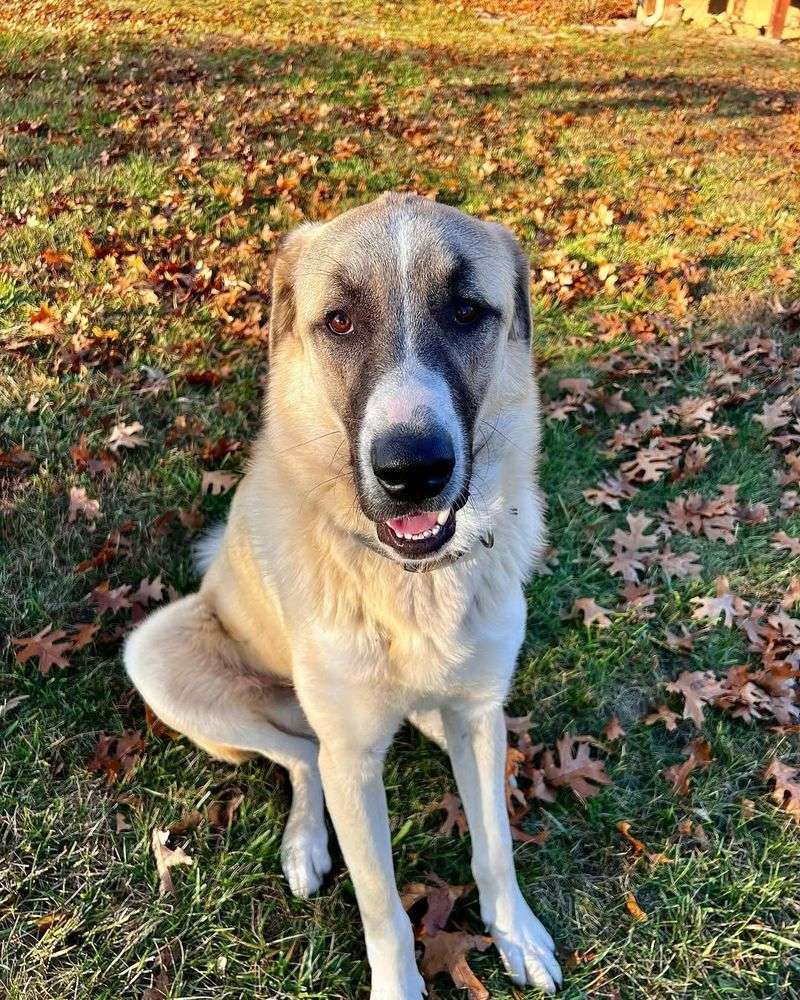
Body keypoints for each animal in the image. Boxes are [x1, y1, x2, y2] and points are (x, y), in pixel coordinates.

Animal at [126, 191, 564, 996]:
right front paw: (398, 982)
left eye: (467, 311)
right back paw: (303, 843)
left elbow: (494, 845)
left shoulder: (480, 716)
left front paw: (515, 933)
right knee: (301, 755)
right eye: (337, 321)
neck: (411, 585)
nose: (412, 470)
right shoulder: (354, 759)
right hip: (162, 655)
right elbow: (382, 906)